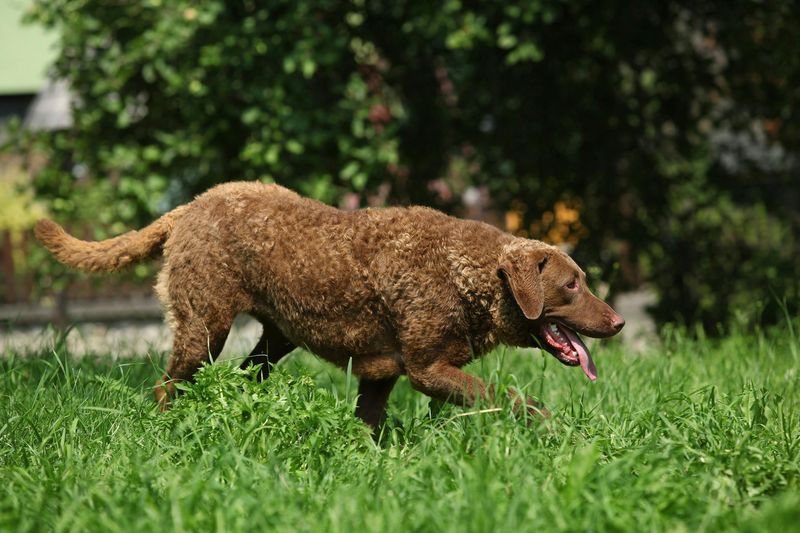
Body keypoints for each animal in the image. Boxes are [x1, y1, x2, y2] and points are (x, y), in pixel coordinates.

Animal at [36, 183, 624, 428]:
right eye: (571, 286)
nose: (618, 322)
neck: (465, 275)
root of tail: (189, 207)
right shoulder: (428, 368)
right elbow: (509, 397)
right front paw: (549, 426)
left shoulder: (382, 373)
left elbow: (368, 425)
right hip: (205, 326)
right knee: (166, 387)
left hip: (275, 338)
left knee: (245, 376)